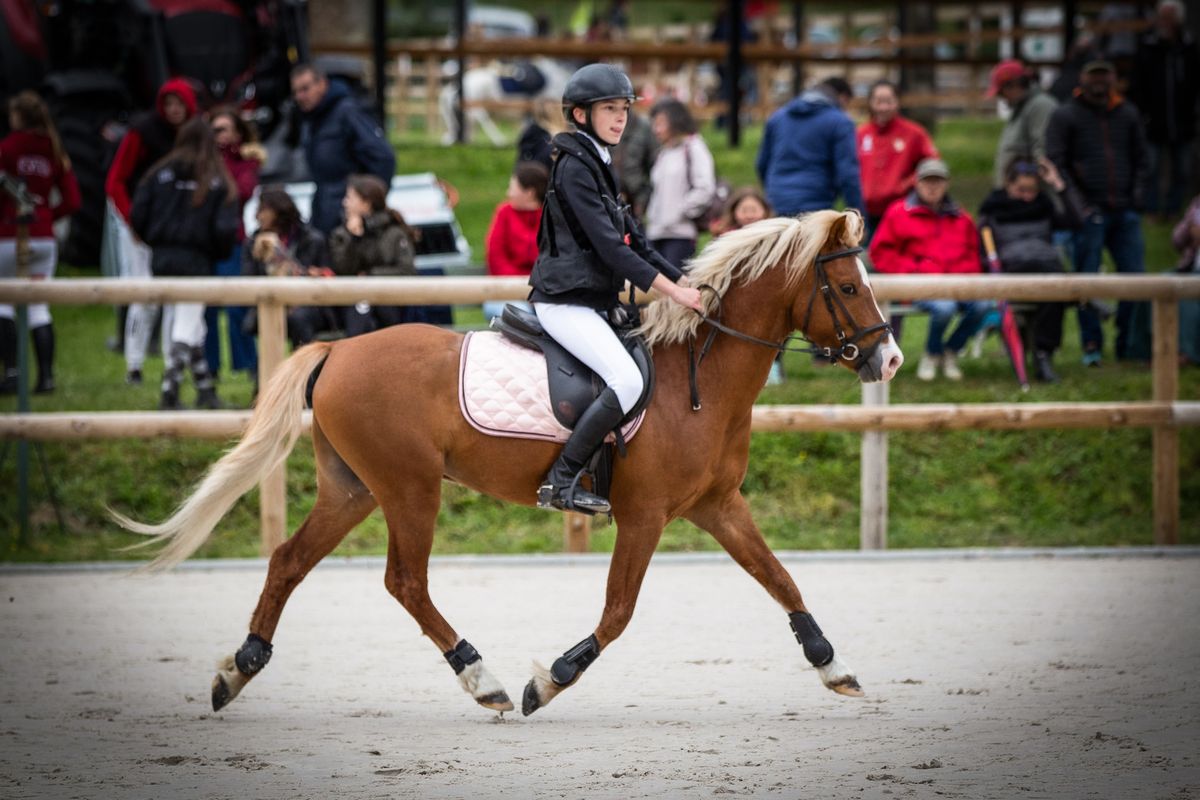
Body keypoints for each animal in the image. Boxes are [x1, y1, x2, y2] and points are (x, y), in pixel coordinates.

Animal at [112, 209, 902, 714]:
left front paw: (835, 665)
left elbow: (781, 578)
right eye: (849, 286)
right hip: (409, 487)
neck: (696, 378)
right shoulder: (644, 515)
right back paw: (482, 679)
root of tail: (339, 348)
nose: (890, 358)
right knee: (405, 582)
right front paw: (548, 681)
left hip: (353, 490)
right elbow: (618, 612)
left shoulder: (718, 506)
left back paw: (239, 670)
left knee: (289, 560)